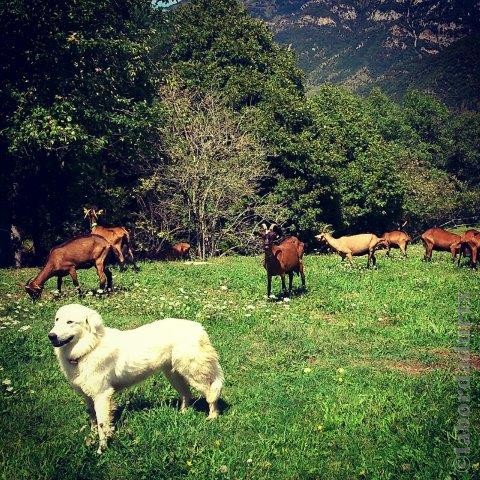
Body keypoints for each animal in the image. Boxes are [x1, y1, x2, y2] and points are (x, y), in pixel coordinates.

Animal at [49, 306, 226, 452]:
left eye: (70, 322)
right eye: (57, 320)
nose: (51, 336)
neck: (90, 347)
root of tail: (198, 328)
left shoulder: (102, 395)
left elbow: (101, 424)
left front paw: (102, 449)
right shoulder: (87, 395)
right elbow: (93, 418)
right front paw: (91, 438)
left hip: (194, 373)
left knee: (211, 392)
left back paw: (212, 416)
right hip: (174, 375)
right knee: (186, 394)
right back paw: (183, 413)